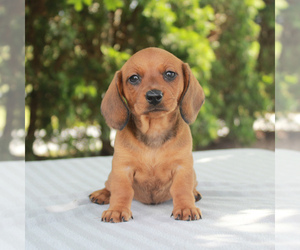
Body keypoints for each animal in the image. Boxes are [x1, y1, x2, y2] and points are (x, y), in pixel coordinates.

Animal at [89, 47, 205, 223]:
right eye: (133, 78)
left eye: (170, 74)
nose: (154, 96)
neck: (154, 131)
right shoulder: (122, 168)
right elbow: (122, 191)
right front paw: (117, 209)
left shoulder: (183, 167)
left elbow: (182, 189)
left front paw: (186, 207)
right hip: (112, 175)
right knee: (109, 185)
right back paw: (102, 194)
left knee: (193, 185)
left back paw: (195, 193)